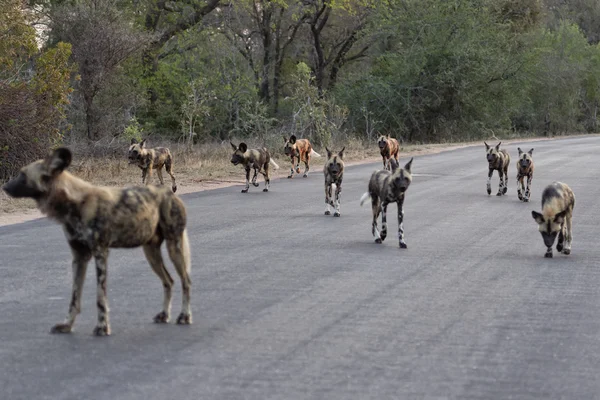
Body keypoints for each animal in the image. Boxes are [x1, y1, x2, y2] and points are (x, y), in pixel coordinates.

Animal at [1, 148, 192, 336]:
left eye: (23, 175)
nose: (4, 187)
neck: (75, 203)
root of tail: (171, 194)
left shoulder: (100, 253)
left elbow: (100, 297)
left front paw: (102, 327)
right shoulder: (79, 257)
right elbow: (74, 297)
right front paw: (67, 325)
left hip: (173, 246)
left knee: (186, 281)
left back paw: (184, 316)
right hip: (151, 252)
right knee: (169, 281)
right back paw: (164, 315)